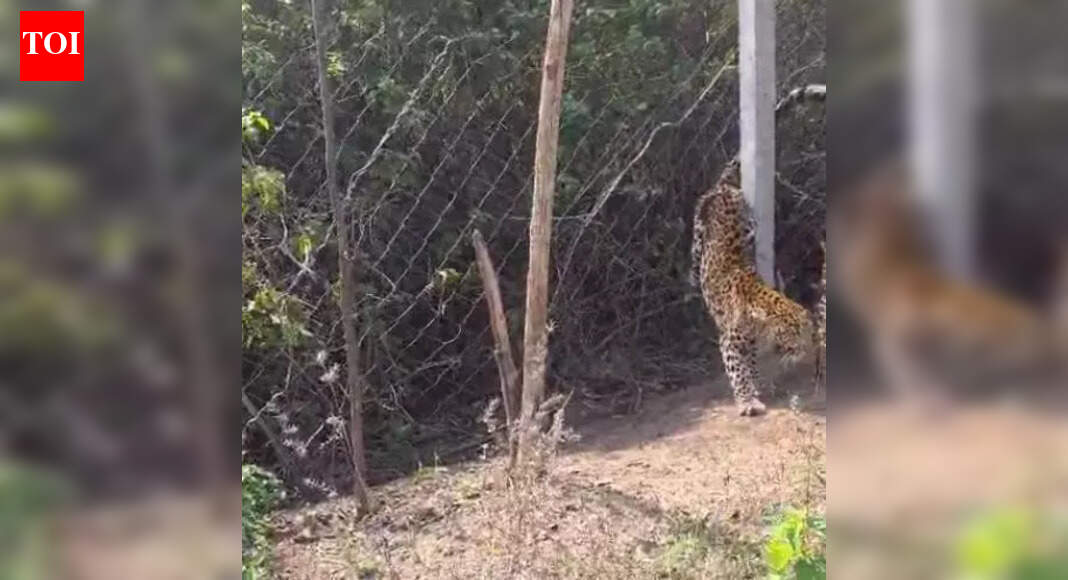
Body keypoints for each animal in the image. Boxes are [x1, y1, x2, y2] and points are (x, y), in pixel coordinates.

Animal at [692, 158, 824, 416]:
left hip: (746, 224)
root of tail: (724, 187)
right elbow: (738, 372)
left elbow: (751, 365)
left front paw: (756, 385)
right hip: (700, 230)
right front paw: (747, 401)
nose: (806, 351)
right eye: (793, 335)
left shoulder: (750, 342)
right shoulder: (729, 342)